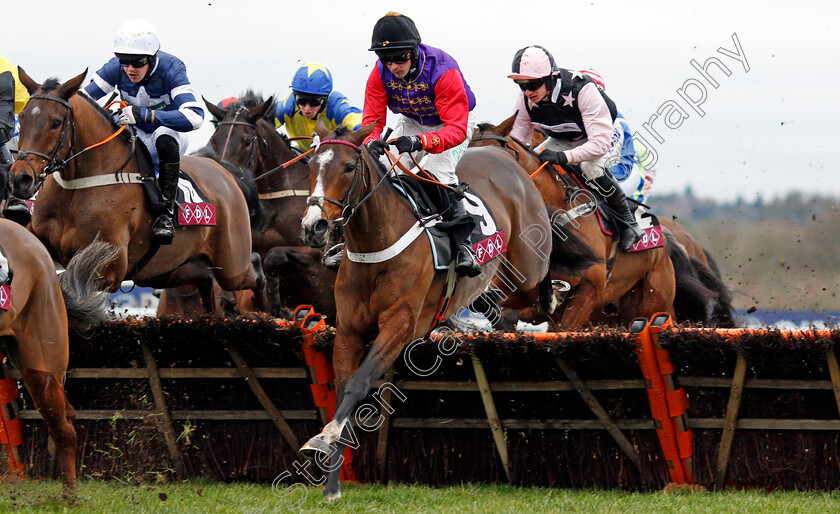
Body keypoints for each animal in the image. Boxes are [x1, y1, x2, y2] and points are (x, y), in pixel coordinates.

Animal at [6, 69, 262, 306]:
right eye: (23, 117)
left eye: (55, 123)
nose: (21, 178)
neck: (76, 188)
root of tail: (223, 169)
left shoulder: (108, 268)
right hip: (174, 270)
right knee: (206, 281)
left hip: (233, 265)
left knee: (257, 269)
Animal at [298, 119, 600, 496]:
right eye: (311, 165)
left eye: (349, 167)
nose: (314, 226)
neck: (376, 245)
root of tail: (508, 158)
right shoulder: (350, 331)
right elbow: (342, 391)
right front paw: (330, 476)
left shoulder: (399, 326)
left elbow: (358, 384)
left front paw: (326, 448)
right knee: (505, 299)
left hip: (528, 262)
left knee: (538, 280)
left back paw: (550, 295)